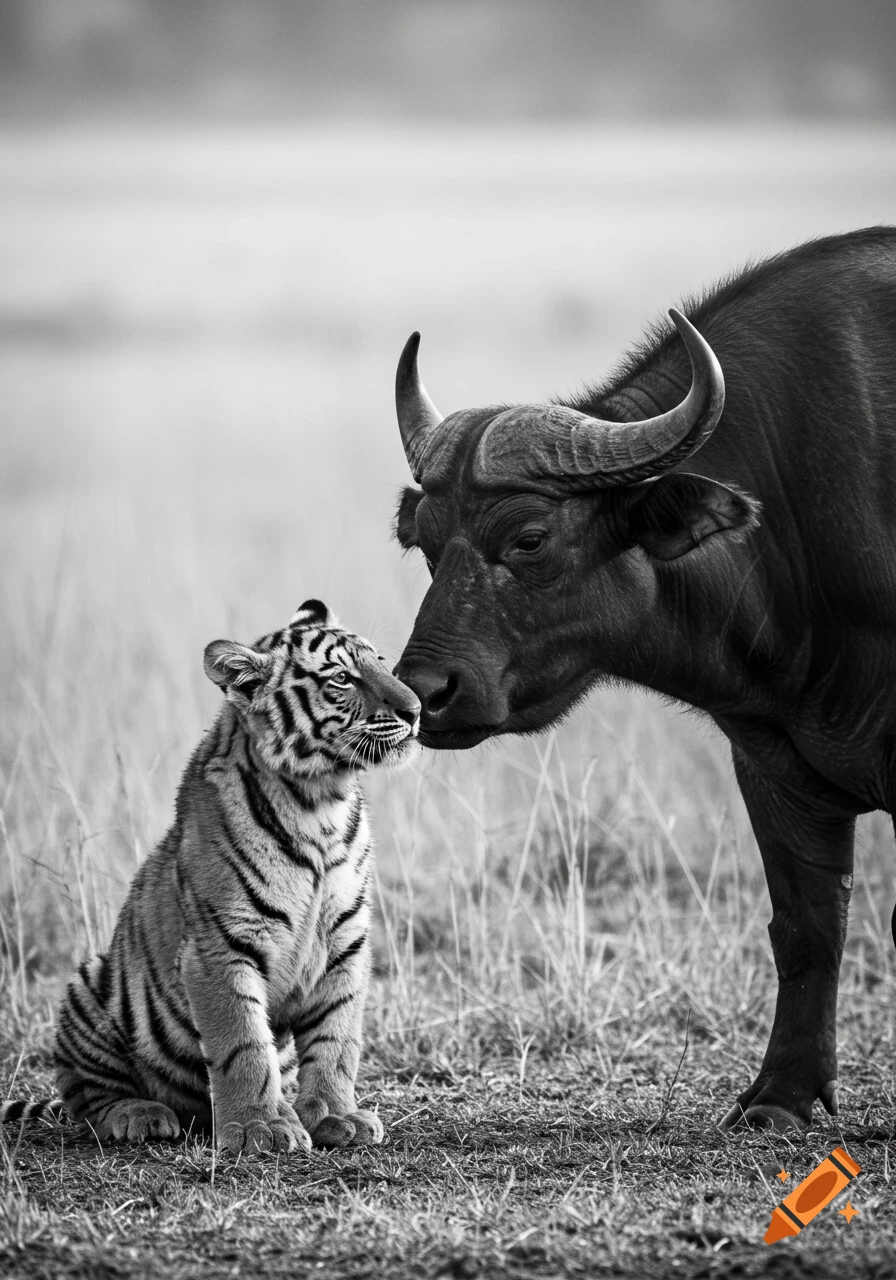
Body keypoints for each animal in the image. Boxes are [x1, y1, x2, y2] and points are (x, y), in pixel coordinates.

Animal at [1, 599, 420, 1154]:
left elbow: (337, 1039)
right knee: (89, 1099)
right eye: (342, 678)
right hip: (89, 981)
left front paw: (337, 1116)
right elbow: (242, 1042)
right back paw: (141, 1115)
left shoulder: (346, 942)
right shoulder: (221, 946)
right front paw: (260, 1128)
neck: (321, 803)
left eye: (379, 662)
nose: (416, 709)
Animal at [392, 225, 896, 1134]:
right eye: (426, 544)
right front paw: (781, 1096)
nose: (427, 694)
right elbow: (806, 926)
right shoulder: (771, 762)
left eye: (528, 537)